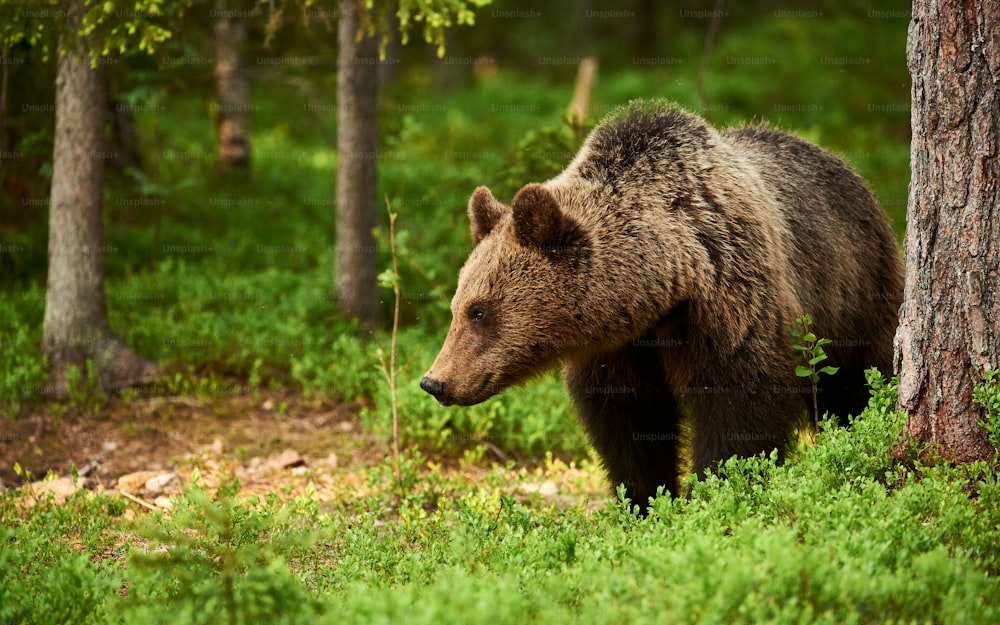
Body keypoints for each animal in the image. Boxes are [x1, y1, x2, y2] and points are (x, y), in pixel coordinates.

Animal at [418, 100, 904, 510]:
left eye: (480, 311)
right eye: (458, 307)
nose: (435, 381)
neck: (662, 288)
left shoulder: (731, 305)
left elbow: (740, 408)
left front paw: (715, 491)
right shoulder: (618, 350)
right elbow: (629, 425)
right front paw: (644, 500)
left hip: (855, 292)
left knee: (859, 382)